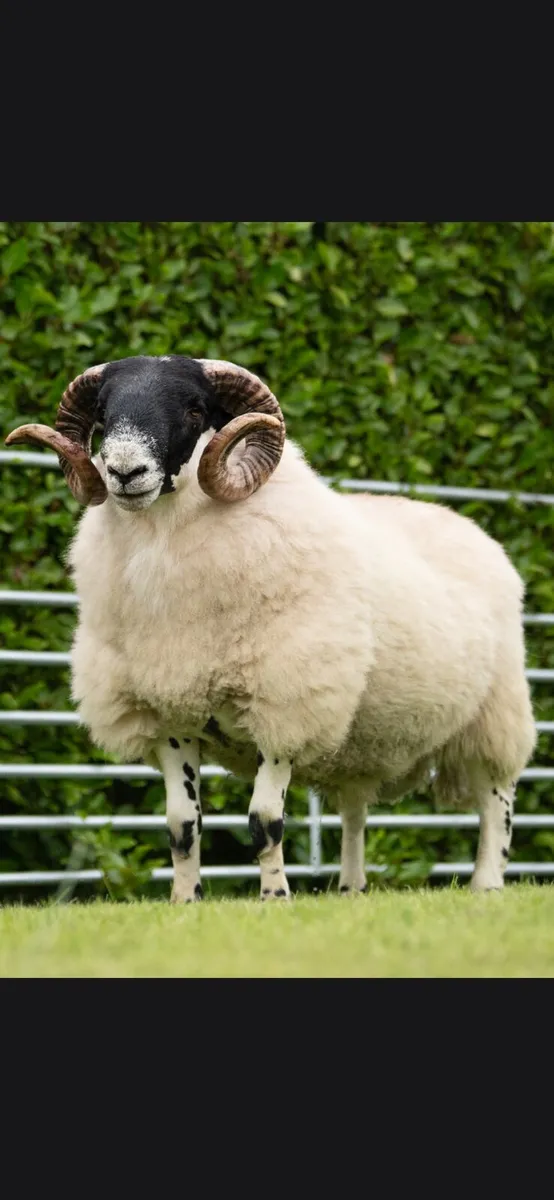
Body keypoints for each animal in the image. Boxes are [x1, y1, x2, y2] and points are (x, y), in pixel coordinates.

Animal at [6, 354, 536, 902]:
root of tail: (472, 530)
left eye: (195, 410)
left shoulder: (285, 703)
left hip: (496, 716)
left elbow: (265, 821)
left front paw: (274, 898)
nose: (124, 472)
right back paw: (350, 889)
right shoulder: (169, 714)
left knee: (497, 805)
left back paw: (487, 884)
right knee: (354, 812)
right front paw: (185, 901)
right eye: (104, 414)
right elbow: (181, 826)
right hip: (361, 742)